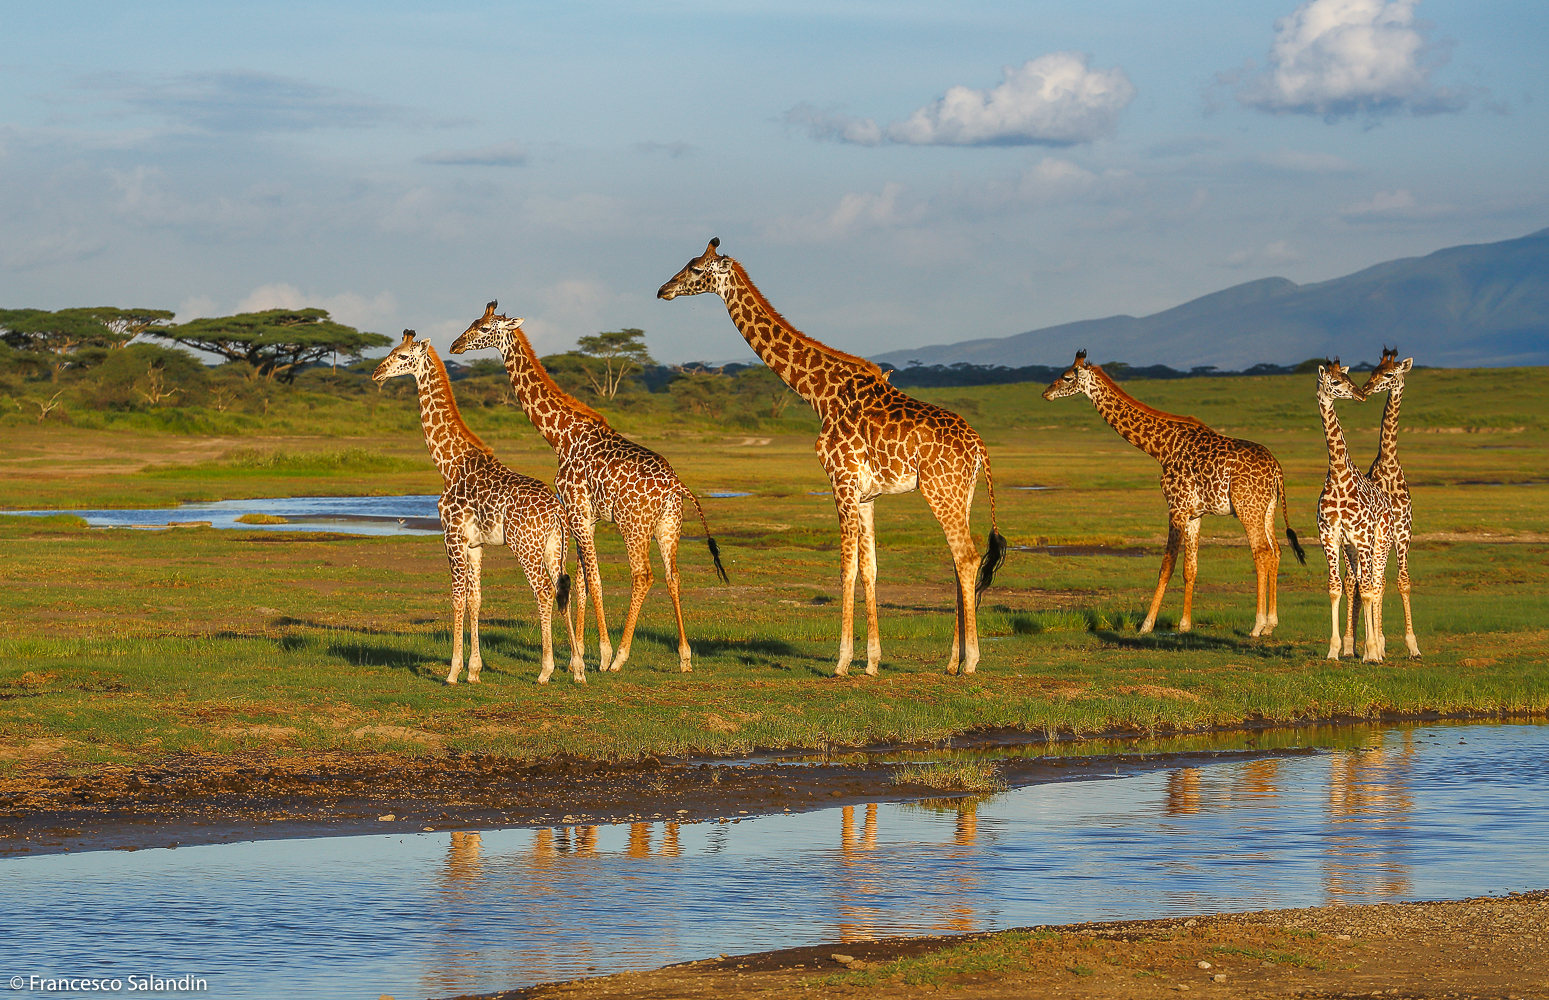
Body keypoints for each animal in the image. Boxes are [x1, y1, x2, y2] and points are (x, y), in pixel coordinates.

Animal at [372, 331, 582, 684]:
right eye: (392, 350)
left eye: (401, 356)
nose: (377, 373)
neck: (449, 463)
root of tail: (556, 511)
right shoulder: (475, 545)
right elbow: (475, 599)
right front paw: (474, 670)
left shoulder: (452, 537)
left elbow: (456, 599)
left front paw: (453, 671)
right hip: (555, 546)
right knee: (562, 588)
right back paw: (578, 669)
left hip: (526, 546)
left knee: (542, 591)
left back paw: (545, 670)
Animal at [450, 304, 727, 674]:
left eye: (482, 328)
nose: (454, 346)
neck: (560, 434)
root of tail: (675, 485)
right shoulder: (585, 516)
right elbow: (580, 581)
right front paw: (577, 655)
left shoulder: (577, 510)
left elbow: (592, 579)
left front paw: (601, 653)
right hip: (669, 524)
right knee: (673, 575)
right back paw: (684, 657)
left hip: (633, 524)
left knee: (642, 575)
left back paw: (621, 657)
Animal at [657, 239, 1006, 677]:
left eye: (694, 267)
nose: (663, 290)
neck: (819, 393)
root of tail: (980, 448)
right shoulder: (867, 494)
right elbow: (870, 569)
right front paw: (872, 662)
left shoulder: (840, 481)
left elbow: (846, 567)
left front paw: (842, 661)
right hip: (963, 494)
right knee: (961, 561)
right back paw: (952, 660)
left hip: (941, 491)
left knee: (967, 557)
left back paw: (970, 661)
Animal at [1042, 351, 1306, 637]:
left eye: (1067, 377)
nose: (1046, 393)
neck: (1161, 448)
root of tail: (1277, 470)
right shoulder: (1194, 514)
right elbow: (1190, 568)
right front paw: (1184, 625)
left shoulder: (1176, 508)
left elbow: (1166, 566)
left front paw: (1146, 625)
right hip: (1267, 509)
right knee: (1276, 551)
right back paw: (1271, 624)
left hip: (1248, 508)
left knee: (1262, 553)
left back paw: (1257, 626)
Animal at [1314, 359, 1396, 662]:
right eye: (1336, 382)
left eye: (1348, 377)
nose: (1360, 394)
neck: (1339, 475)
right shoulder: (1329, 536)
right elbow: (1335, 587)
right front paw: (1334, 649)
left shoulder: (1363, 538)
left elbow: (1370, 590)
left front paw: (1371, 651)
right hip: (1352, 547)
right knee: (1360, 582)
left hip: (1380, 541)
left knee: (1375, 582)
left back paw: (1377, 649)